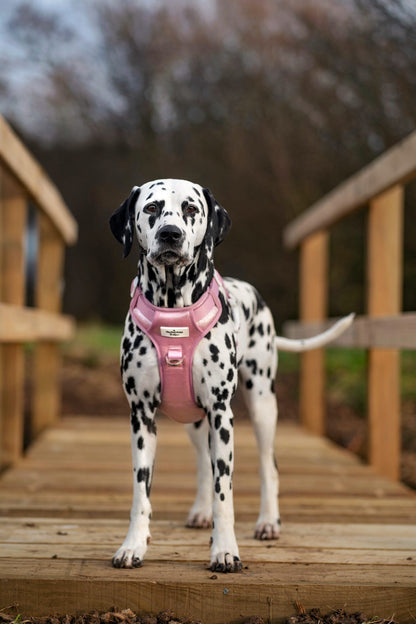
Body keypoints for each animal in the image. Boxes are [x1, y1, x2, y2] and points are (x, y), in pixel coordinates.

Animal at [109, 178, 352, 572]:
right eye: (152, 208)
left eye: (191, 208)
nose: (170, 234)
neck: (173, 309)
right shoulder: (141, 417)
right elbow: (141, 494)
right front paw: (133, 545)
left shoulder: (223, 415)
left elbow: (225, 494)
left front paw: (224, 549)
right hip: (195, 423)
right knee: (203, 465)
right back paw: (200, 511)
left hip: (263, 405)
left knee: (269, 467)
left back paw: (268, 522)